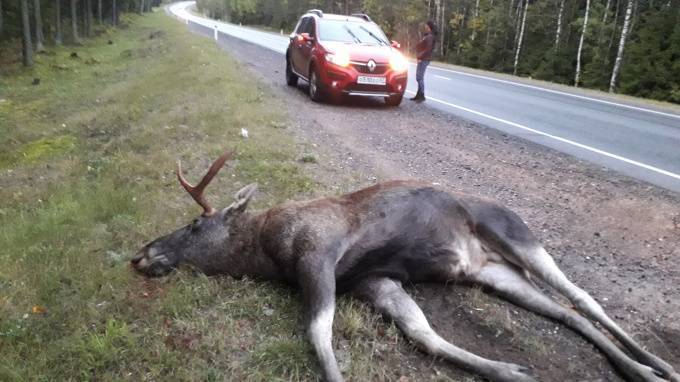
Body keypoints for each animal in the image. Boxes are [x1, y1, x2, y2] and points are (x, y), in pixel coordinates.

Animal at [134, 151, 680, 382]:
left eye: (193, 226)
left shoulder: (319, 254)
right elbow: (424, 335)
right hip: (491, 273)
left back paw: (658, 366)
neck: (268, 252)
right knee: (564, 312)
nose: (142, 254)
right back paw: (639, 368)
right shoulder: (373, 280)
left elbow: (318, 335)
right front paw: (507, 371)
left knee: (583, 298)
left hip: (515, 234)